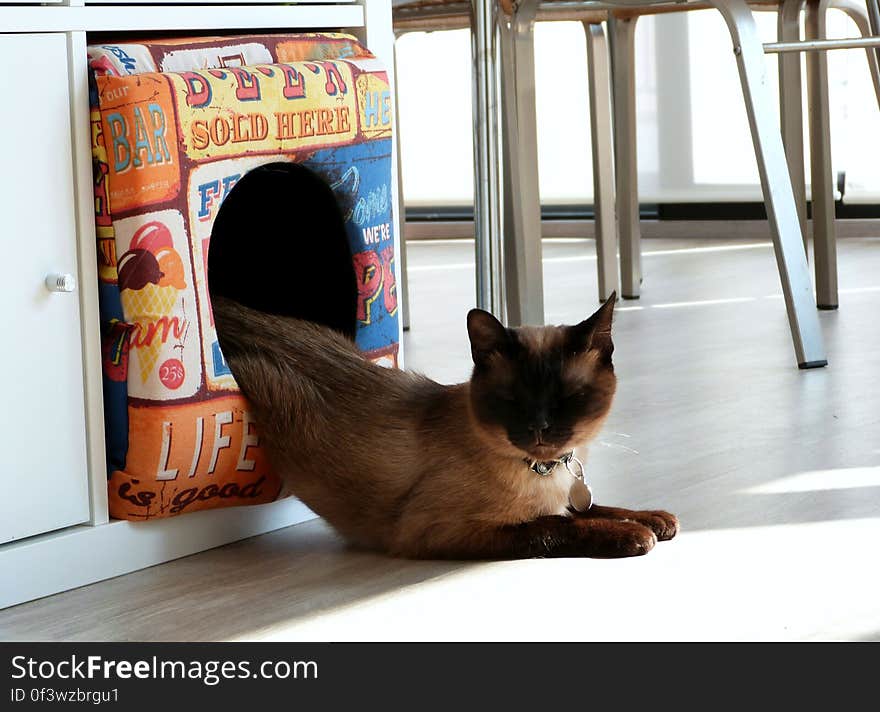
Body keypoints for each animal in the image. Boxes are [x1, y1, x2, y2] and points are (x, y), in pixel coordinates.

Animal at [213, 292, 680, 560]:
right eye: (512, 402)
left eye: (566, 400)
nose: (540, 429)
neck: (544, 471)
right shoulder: (437, 531)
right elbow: (554, 526)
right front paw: (636, 536)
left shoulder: (569, 497)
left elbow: (598, 506)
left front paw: (656, 520)